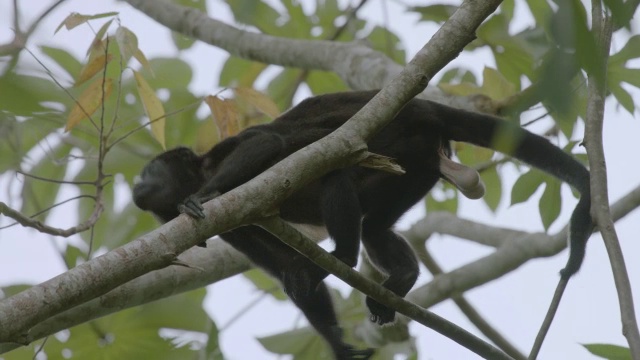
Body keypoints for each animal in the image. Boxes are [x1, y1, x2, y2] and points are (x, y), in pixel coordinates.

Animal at [132, 89, 592, 358]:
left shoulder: (223, 156)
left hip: (401, 137)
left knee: (336, 180)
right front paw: (338, 345)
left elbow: (268, 141)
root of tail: (424, 107)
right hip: (417, 166)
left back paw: (343, 255)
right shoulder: (233, 226)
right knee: (373, 228)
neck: (198, 172)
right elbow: (286, 267)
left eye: (151, 170)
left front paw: (206, 195)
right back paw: (402, 276)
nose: (136, 184)